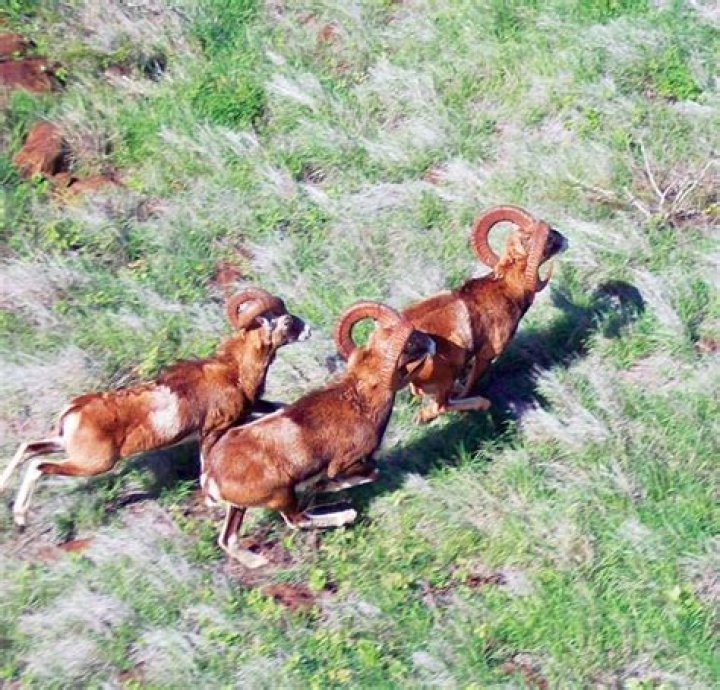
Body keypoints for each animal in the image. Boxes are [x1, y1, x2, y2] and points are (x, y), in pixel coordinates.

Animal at [1, 288, 310, 527]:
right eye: (285, 321)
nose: (308, 330)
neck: (234, 371)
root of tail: (74, 411)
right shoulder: (212, 431)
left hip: (63, 445)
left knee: (28, 448)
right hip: (93, 464)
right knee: (39, 465)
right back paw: (20, 517)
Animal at [200, 301, 436, 568]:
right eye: (410, 345)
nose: (431, 343)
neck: (361, 403)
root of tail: (212, 476)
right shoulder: (348, 463)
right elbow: (368, 473)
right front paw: (326, 487)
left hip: (239, 508)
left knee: (228, 539)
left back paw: (257, 562)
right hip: (282, 496)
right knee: (297, 520)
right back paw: (346, 514)